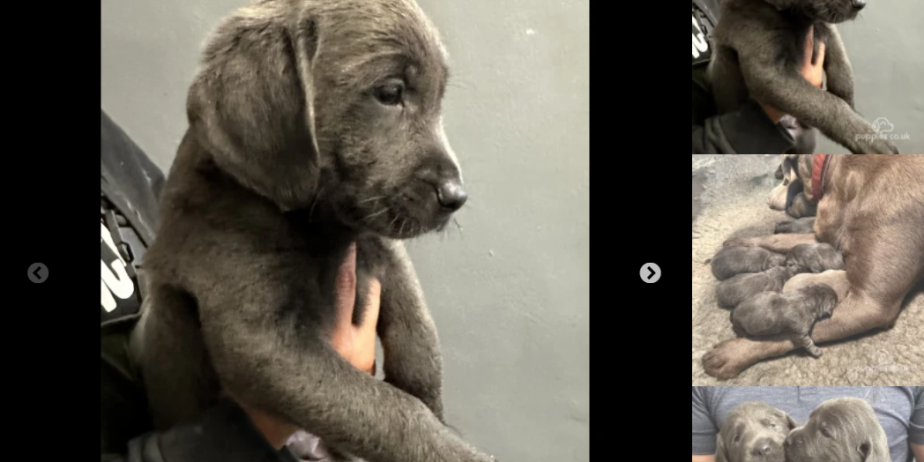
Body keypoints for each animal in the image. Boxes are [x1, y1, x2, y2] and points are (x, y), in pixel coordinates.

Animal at [130, 0, 498, 462]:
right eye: (390, 93)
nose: (456, 197)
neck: (320, 228)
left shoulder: (377, 241)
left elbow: (419, 335)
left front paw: (436, 406)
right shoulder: (257, 337)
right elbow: (388, 410)